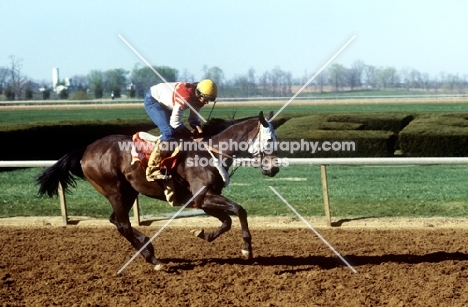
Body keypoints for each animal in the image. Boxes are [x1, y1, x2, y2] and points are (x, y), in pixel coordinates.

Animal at [37, 112, 278, 270]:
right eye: (268, 139)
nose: (274, 168)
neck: (210, 154)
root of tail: (86, 149)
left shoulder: (202, 200)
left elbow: (227, 221)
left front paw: (204, 234)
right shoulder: (203, 196)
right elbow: (239, 210)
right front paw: (247, 249)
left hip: (129, 192)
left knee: (115, 220)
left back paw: (147, 248)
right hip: (114, 190)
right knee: (123, 224)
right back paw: (153, 259)